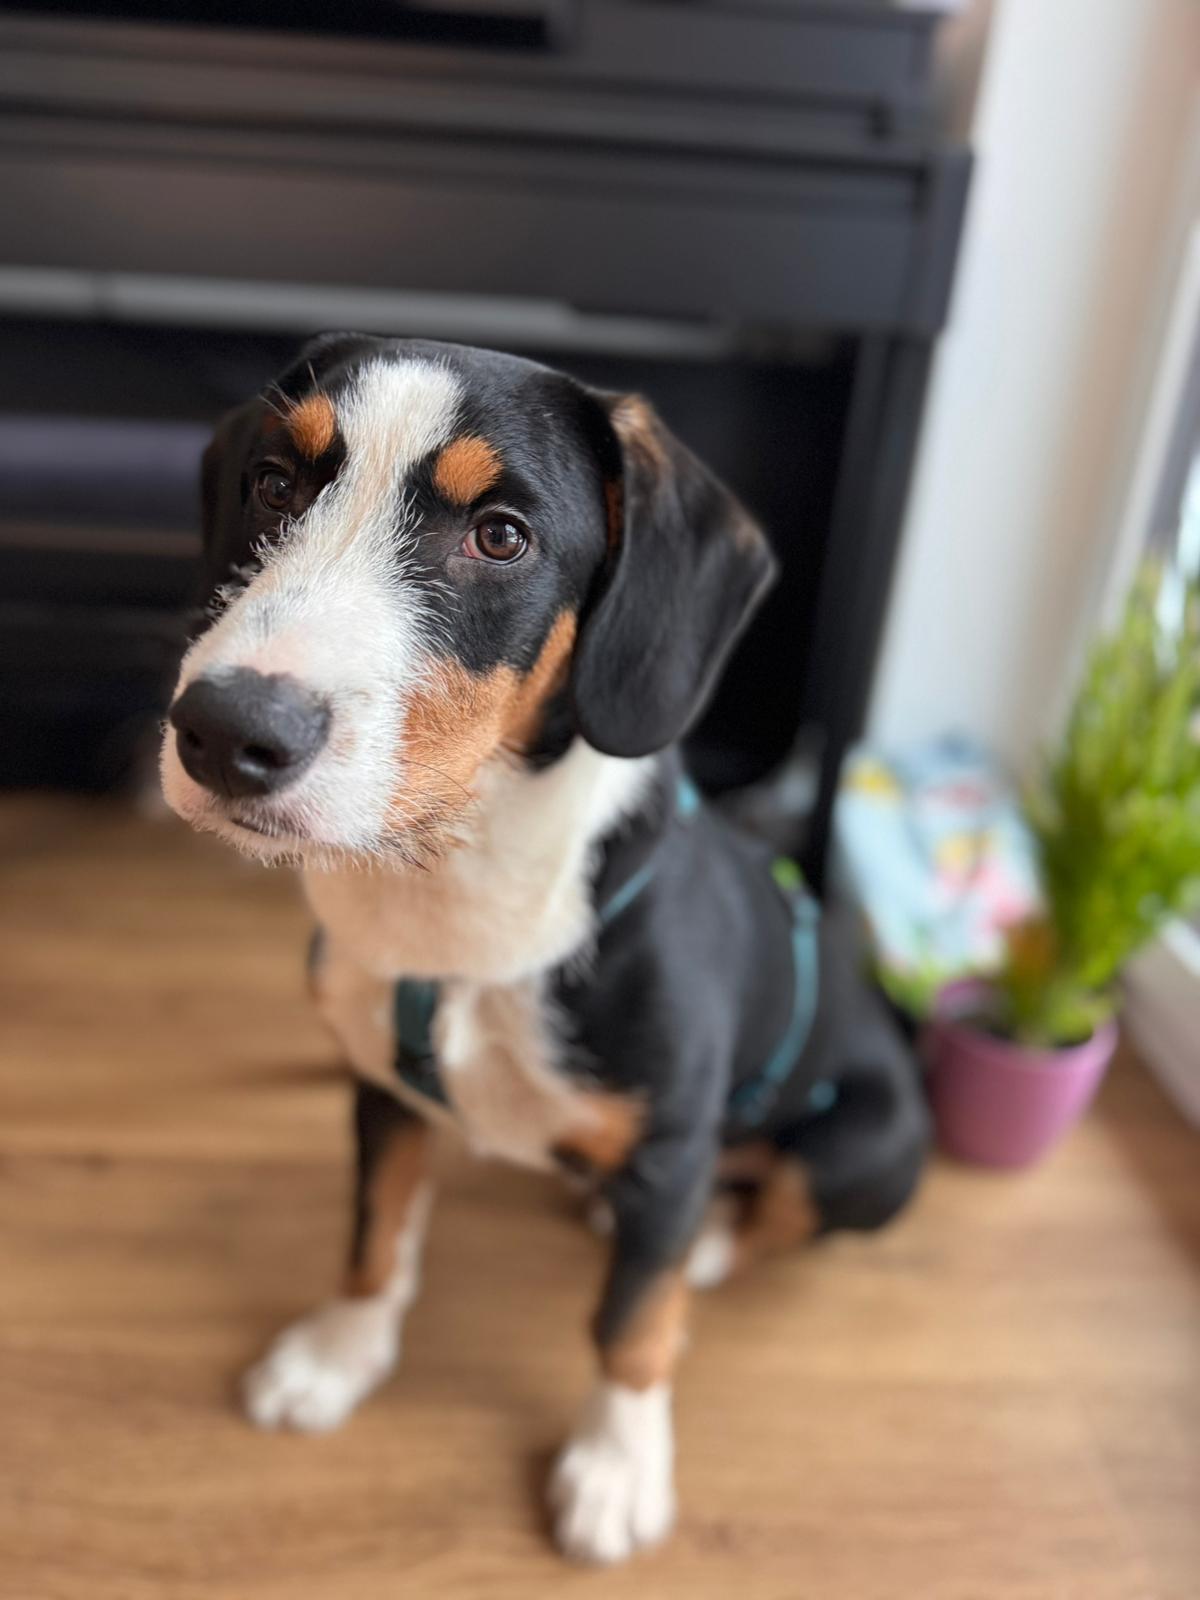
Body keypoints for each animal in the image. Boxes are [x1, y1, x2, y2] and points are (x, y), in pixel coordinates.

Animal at [161, 333, 929, 1565]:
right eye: (274, 483)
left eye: (501, 536)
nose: (227, 732)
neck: (455, 896)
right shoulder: (383, 1088)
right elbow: (376, 1233)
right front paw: (339, 1355)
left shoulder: (669, 1146)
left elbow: (630, 1324)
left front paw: (617, 1465)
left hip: (867, 1147)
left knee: (771, 1207)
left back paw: (710, 1241)